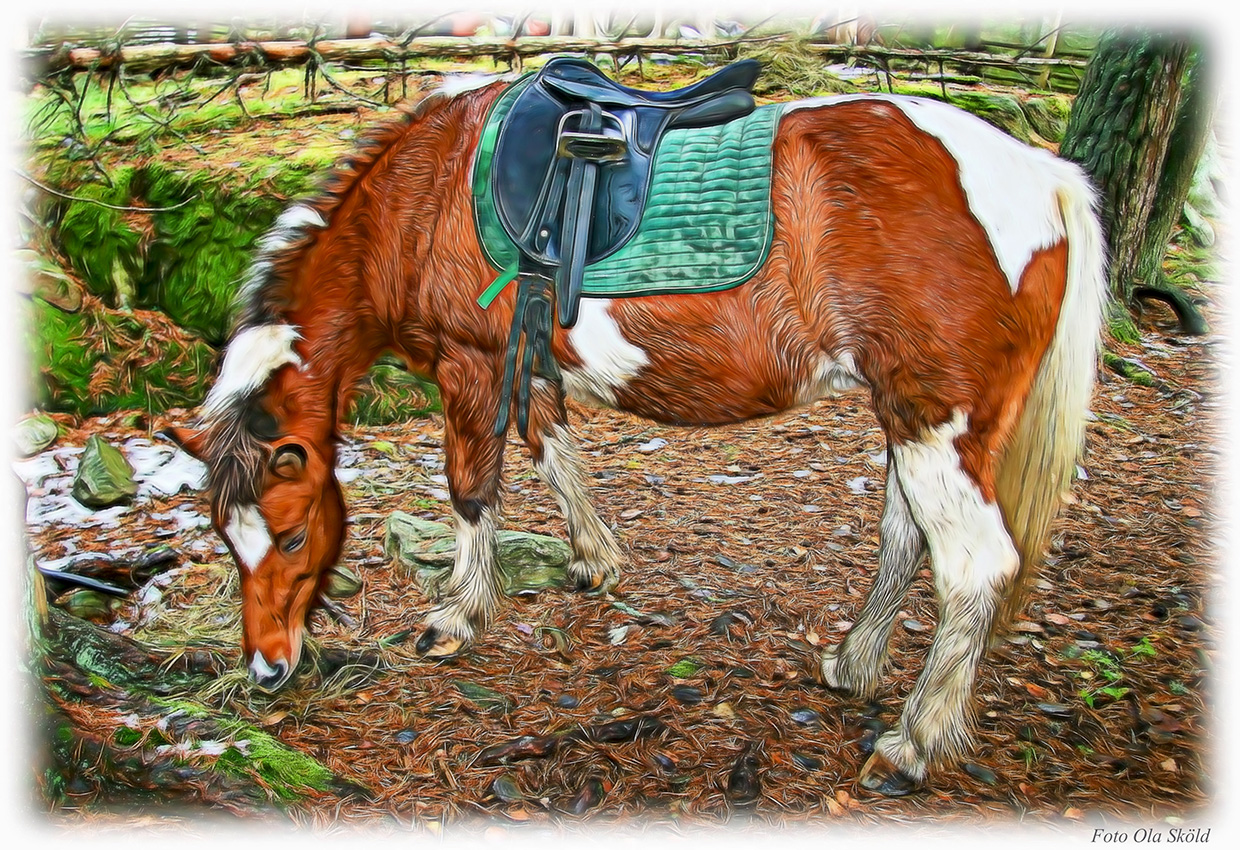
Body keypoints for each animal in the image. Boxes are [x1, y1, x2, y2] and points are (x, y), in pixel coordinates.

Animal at [167, 69, 1106, 795]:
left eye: (293, 535)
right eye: (227, 541)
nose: (268, 668)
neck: (418, 198)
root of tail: (1040, 172)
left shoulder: (472, 368)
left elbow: (472, 488)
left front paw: (459, 616)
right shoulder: (529, 364)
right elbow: (554, 455)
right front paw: (594, 558)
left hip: (934, 425)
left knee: (974, 567)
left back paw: (912, 743)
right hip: (910, 423)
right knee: (904, 537)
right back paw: (854, 664)